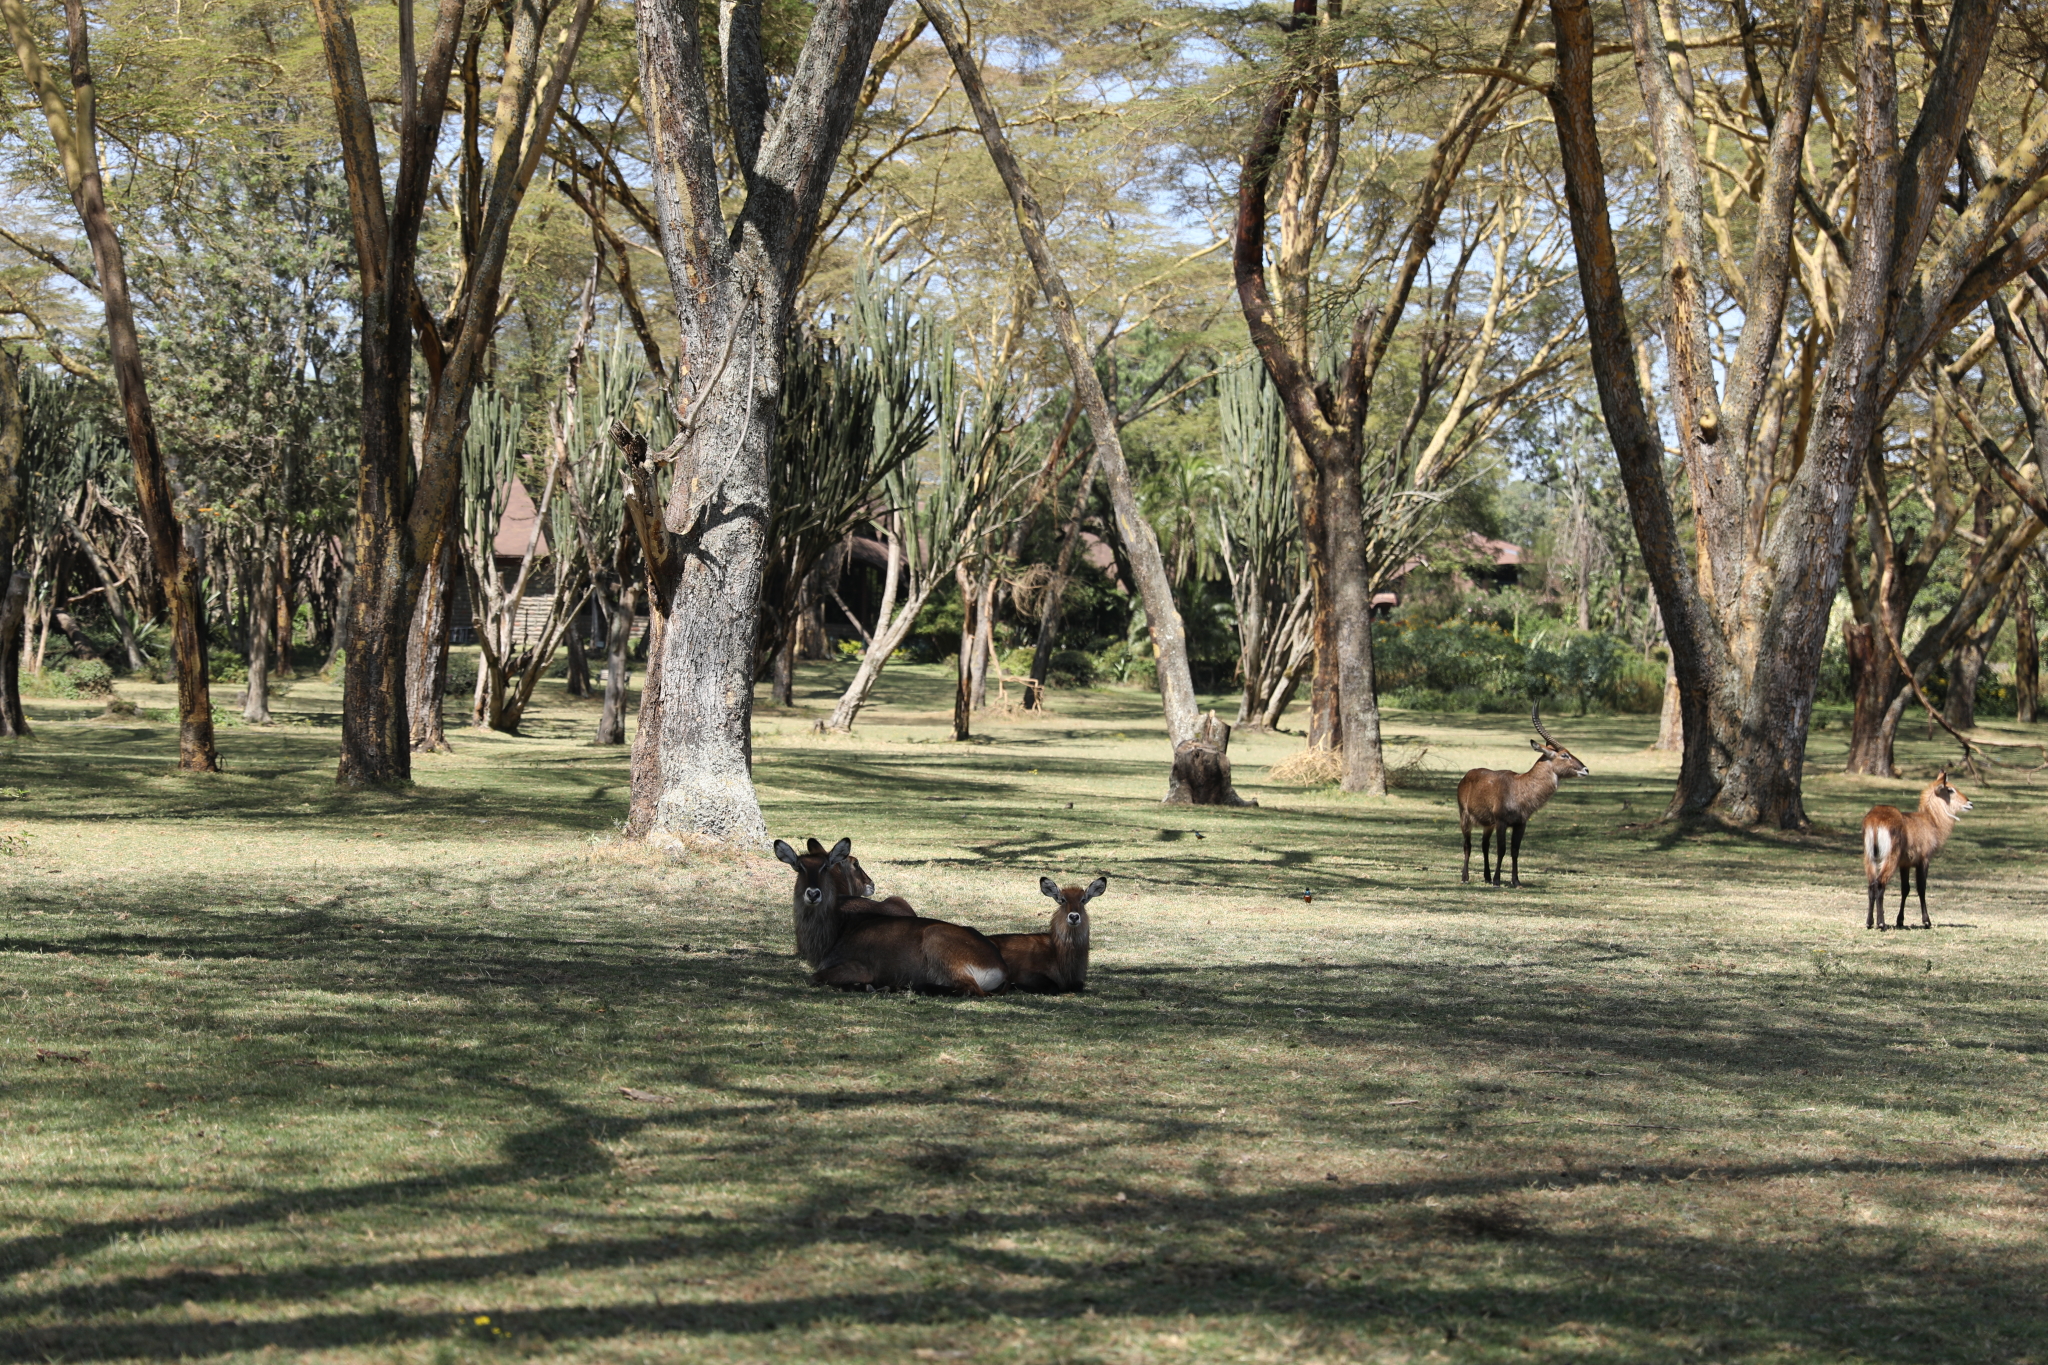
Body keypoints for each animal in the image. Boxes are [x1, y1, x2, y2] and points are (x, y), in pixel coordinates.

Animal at [770, 834, 1007, 994]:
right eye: (799, 867)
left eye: (825, 867)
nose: (813, 893)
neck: (834, 933)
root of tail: (1000, 965)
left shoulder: (859, 967)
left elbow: (815, 977)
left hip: (936, 938)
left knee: (970, 989)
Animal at [1466, 712, 1589, 892]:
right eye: (1564, 755)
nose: (1586, 769)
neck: (1520, 786)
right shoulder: (1501, 822)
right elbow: (1502, 849)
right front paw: (1497, 881)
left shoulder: (1521, 824)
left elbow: (1515, 850)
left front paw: (1516, 882)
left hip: (1488, 824)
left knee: (1484, 844)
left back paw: (1486, 877)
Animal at [1867, 769, 1974, 929]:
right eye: (1950, 789)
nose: (1970, 803)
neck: (1931, 821)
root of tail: (1876, 820)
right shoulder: (1924, 860)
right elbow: (1921, 888)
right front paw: (1926, 921)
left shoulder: (1905, 864)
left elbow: (1905, 889)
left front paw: (1900, 920)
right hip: (1890, 858)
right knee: (1880, 884)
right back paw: (1881, 923)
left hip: (1870, 858)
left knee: (1871, 885)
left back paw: (1869, 922)